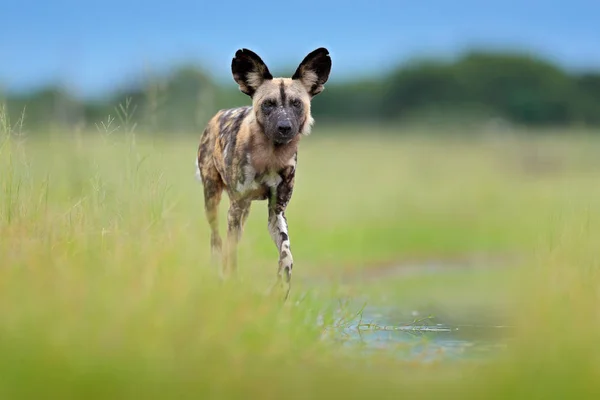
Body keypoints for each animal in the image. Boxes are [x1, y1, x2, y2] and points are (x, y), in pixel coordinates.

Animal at [195, 47, 330, 298]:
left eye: (296, 104)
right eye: (269, 104)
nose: (284, 127)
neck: (270, 156)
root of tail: (217, 115)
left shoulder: (276, 212)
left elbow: (287, 255)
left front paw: (282, 285)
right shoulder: (235, 208)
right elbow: (230, 254)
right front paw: (231, 283)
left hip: (243, 211)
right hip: (214, 201)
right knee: (217, 241)